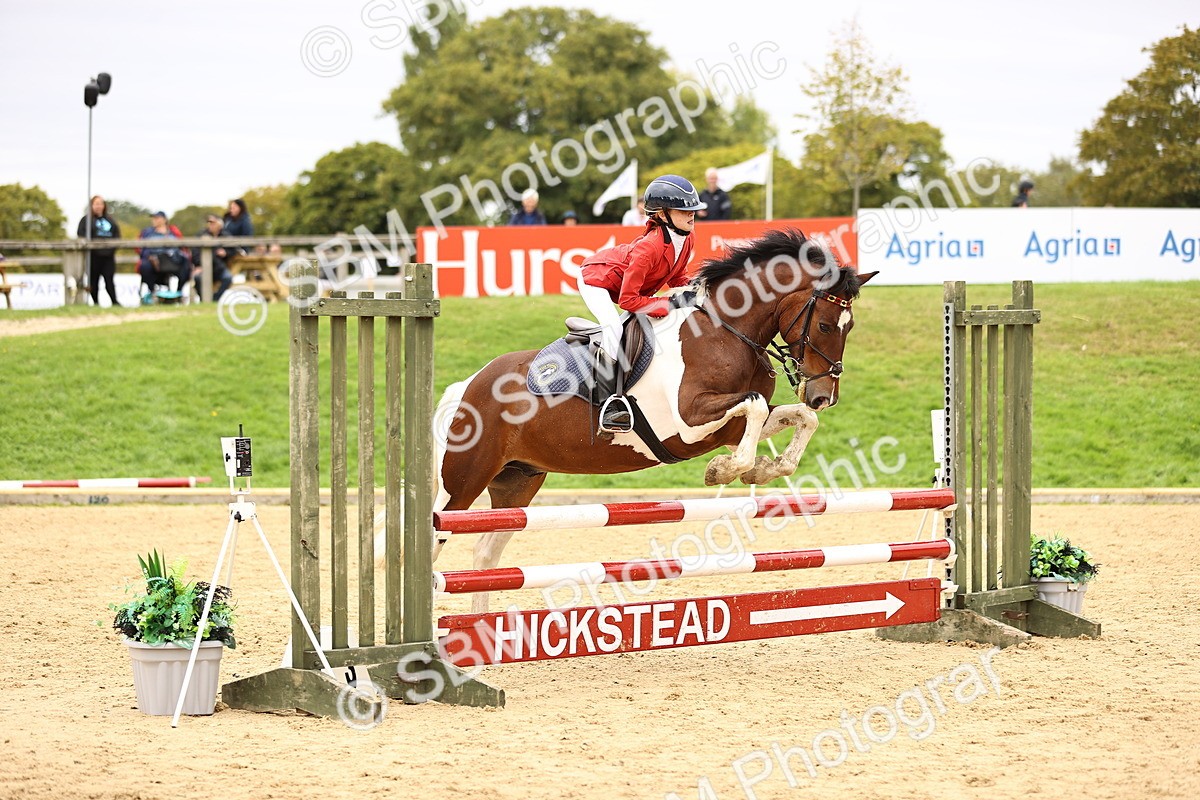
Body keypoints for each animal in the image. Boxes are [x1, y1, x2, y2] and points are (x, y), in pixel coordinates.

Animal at [433, 228, 876, 611]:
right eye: (824, 324)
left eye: (850, 326)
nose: (824, 396)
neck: (726, 330)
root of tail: (467, 386)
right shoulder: (688, 420)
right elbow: (752, 405)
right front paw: (724, 470)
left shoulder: (726, 426)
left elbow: (797, 418)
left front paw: (764, 468)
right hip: (461, 483)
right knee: (435, 539)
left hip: (517, 483)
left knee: (485, 551)